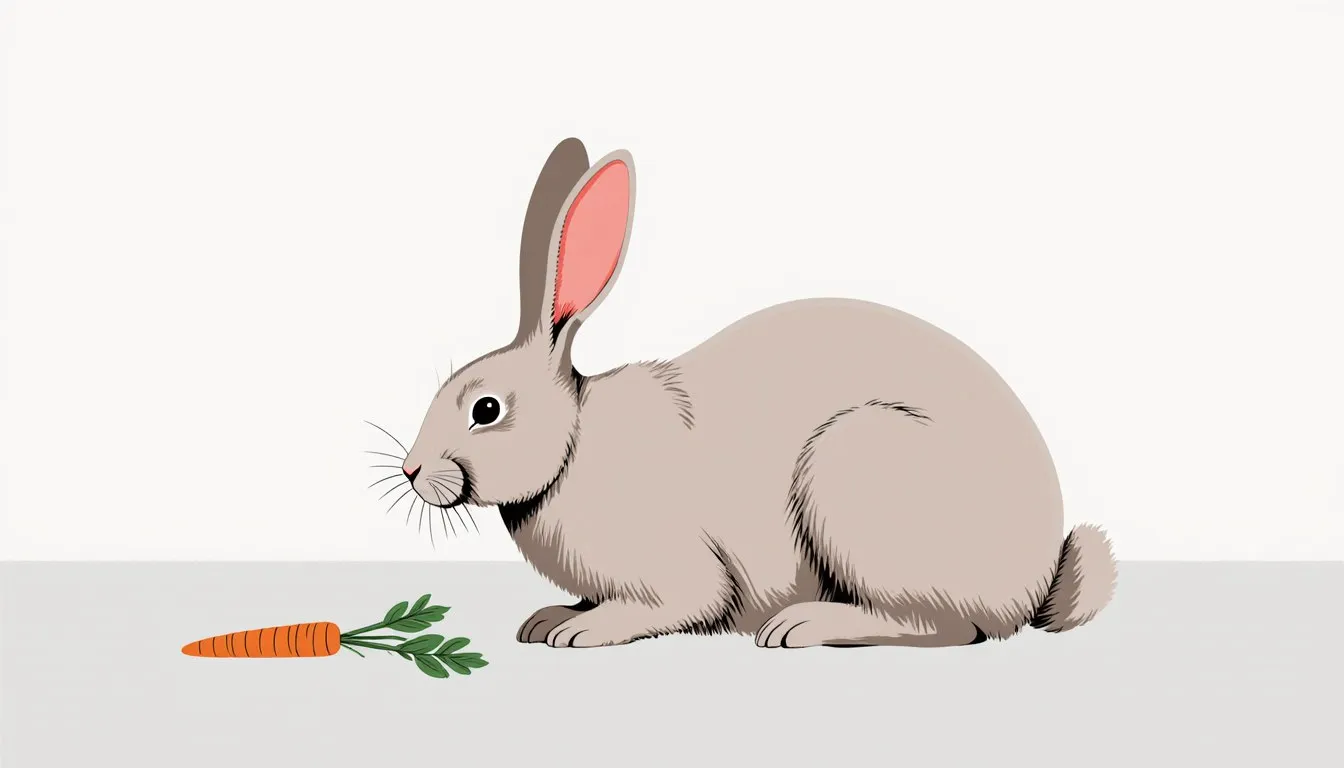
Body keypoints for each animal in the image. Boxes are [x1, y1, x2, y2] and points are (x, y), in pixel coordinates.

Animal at [399, 137, 1118, 649]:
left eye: (485, 410)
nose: (410, 471)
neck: (574, 443)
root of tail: (1033, 583)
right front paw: (548, 618)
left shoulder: (677, 573)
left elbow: (678, 602)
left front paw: (581, 630)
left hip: (855, 476)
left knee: (943, 626)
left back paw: (804, 626)